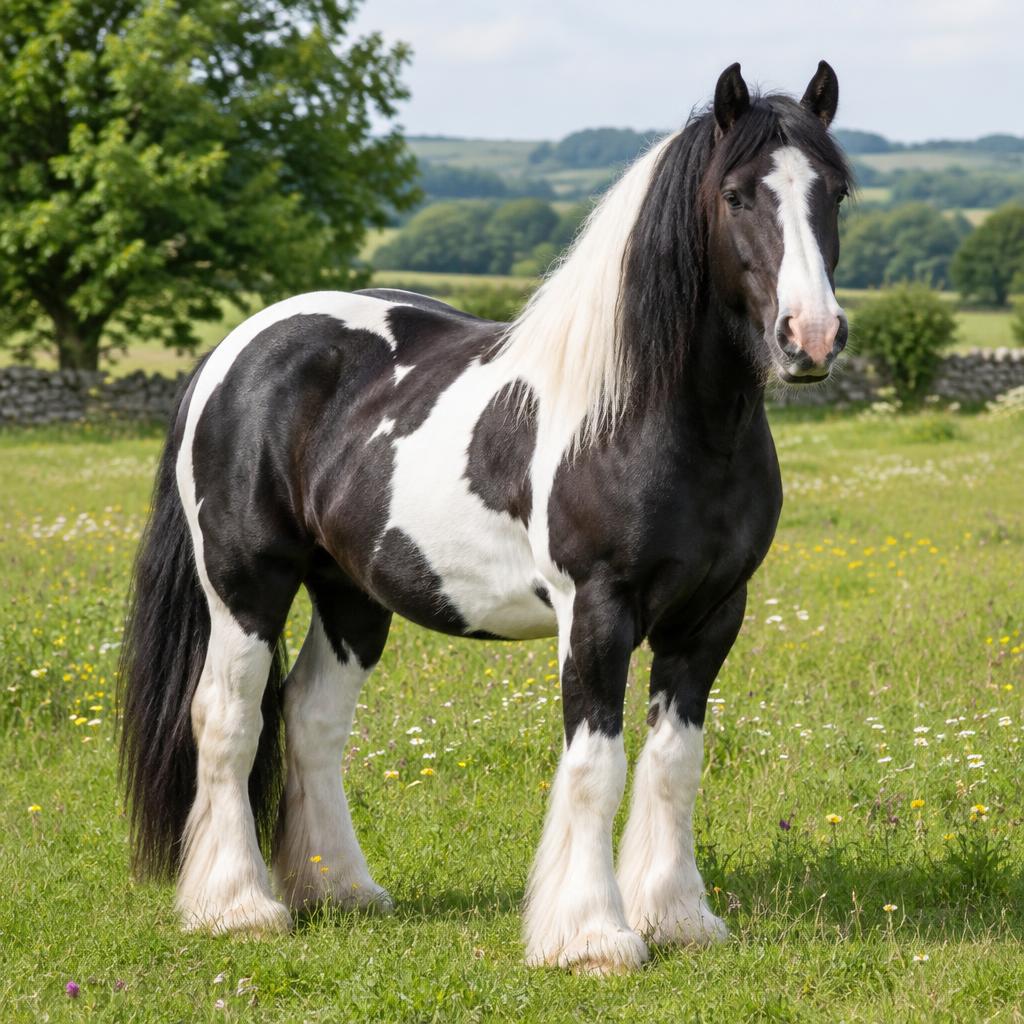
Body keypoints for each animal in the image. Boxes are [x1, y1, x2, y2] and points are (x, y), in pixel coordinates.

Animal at [119, 60, 851, 974]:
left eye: (836, 192)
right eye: (738, 194)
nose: (811, 337)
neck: (656, 418)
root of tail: (234, 350)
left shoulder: (713, 615)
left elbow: (675, 764)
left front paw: (677, 916)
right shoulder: (597, 611)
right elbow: (596, 767)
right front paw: (592, 936)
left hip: (351, 595)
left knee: (311, 718)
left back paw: (339, 889)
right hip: (246, 587)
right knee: (227, 720)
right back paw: (238, 906)